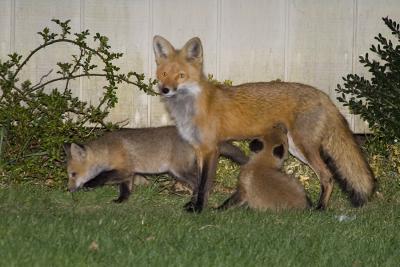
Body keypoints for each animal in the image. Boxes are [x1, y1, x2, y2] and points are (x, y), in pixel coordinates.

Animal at [63, 126, 247, 204]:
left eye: (73, 174)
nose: (69, 189)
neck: (108, 150)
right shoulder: (129, 174)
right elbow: (125, 190)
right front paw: (121, 201)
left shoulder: (123, 170)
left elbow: (103, 176)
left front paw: (89, 184)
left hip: (179, 171)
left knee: (198, 183)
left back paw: (193, 203)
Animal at [152, 35, 376, 213]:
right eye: (164, 74)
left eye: (181, 76)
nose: (165, 90)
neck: (190, 107)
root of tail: (323, 95)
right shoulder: (199, 150)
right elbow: (197, 182)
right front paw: (192, 205)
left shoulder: (210, 149)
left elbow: (205, 184)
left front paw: (199, 209)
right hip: (296, 148)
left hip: (304, 147)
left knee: (328, 176)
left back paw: (320, 208)